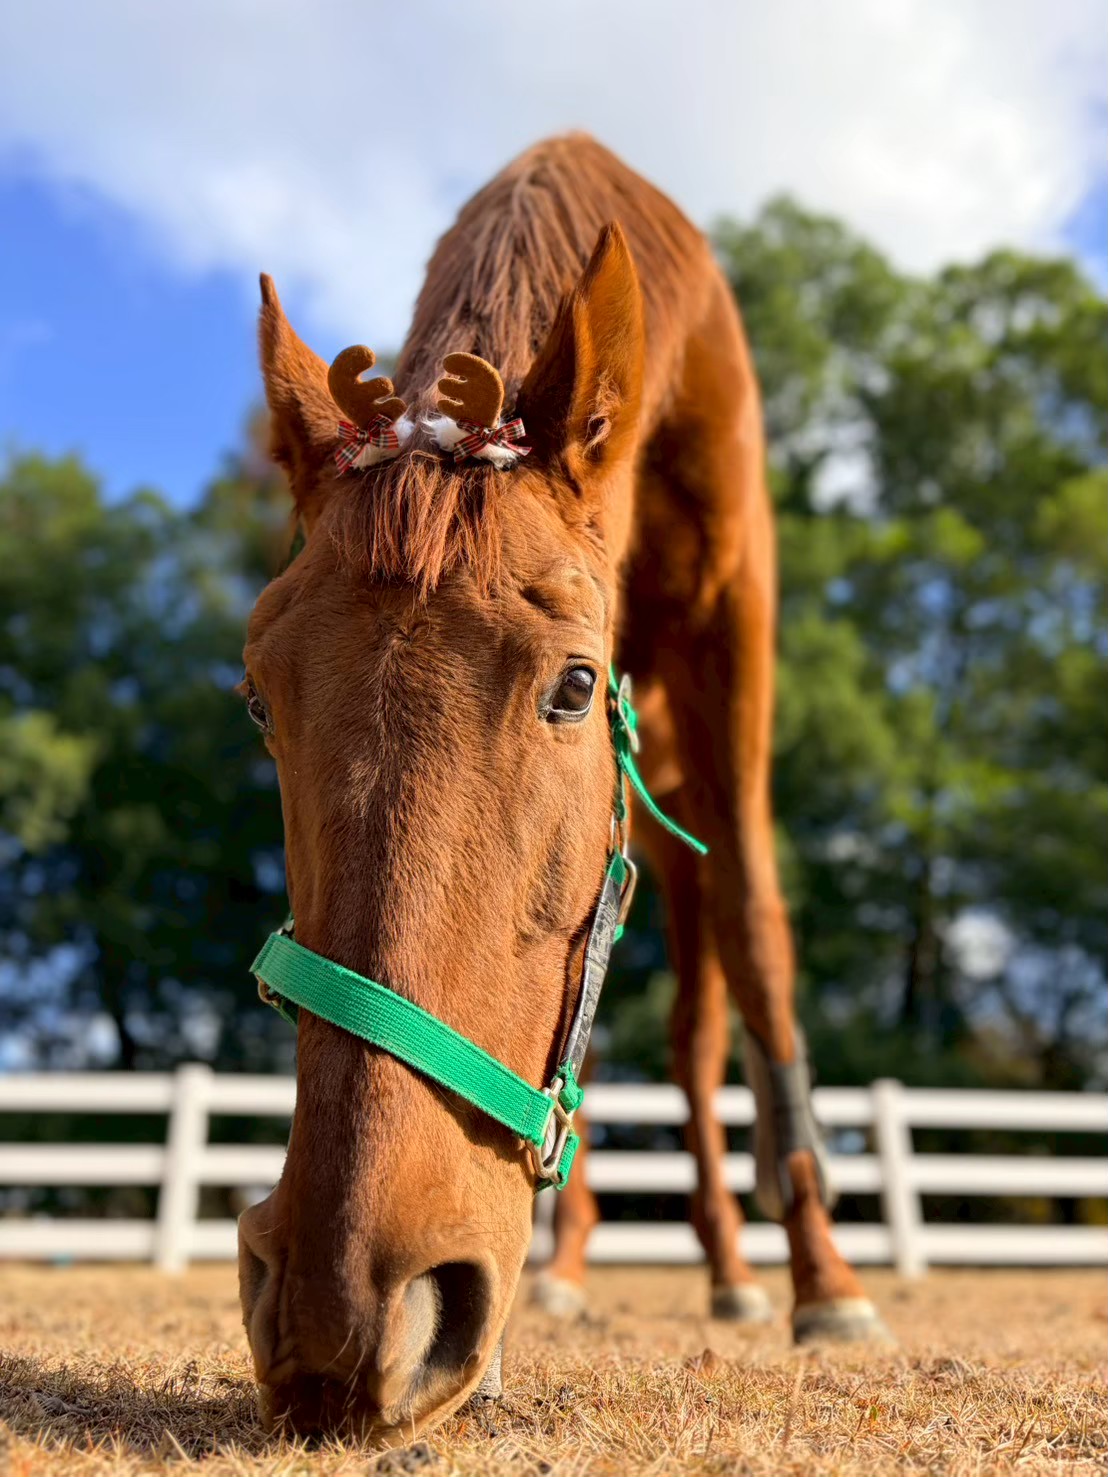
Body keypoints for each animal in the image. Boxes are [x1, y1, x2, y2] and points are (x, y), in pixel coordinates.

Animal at [237, 133, 885, 1445]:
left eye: (576, 686)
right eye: (258, 700)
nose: (338, 1311)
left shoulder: (738, 650)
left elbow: (760, 943)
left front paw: (828, 1285)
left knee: (701, 1026)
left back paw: (741, 1276)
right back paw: (573, 1271)